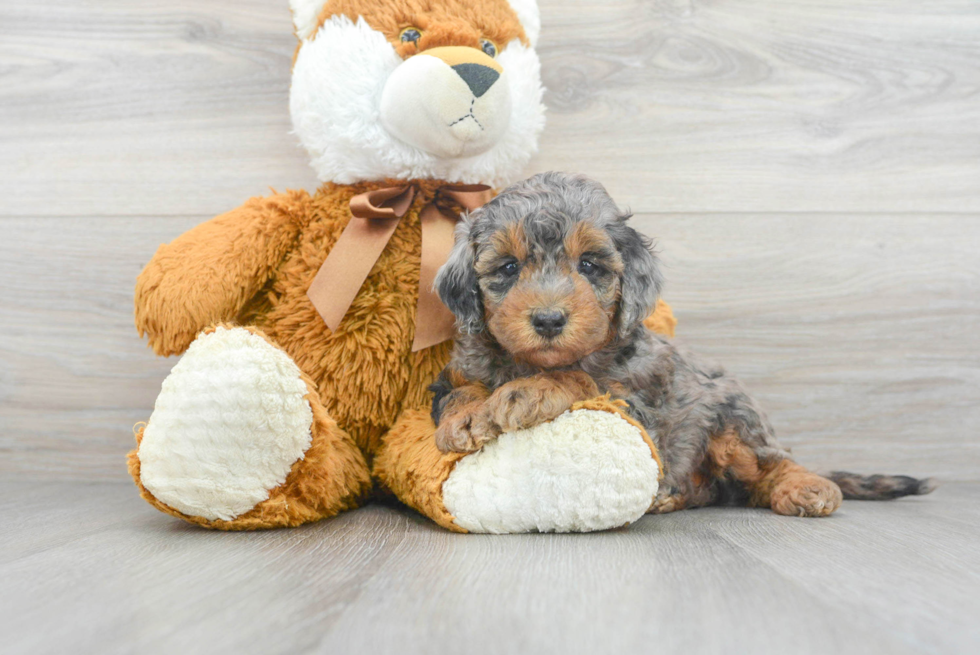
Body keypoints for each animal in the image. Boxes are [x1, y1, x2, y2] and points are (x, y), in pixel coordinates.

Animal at [430, 170, 936, 516]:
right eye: (508, 268)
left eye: (590, 265)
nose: (549, 319)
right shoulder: (458, 371)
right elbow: (460, 390)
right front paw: (465, 415)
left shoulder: (640, 407)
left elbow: (579, 379)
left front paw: (529, 391)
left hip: (734, 420)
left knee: (771, 463)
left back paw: (806, 487)